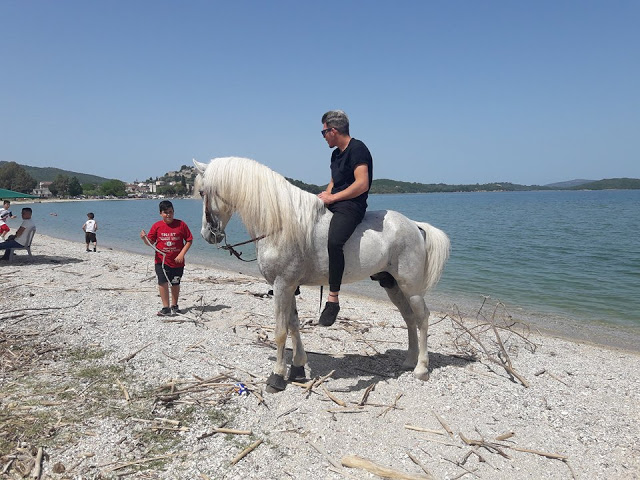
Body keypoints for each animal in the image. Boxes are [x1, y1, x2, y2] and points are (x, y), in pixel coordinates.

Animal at [195, 158, 450, 394]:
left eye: (201, 192)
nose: (207, 234)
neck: (282, 224)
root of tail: (414, 225)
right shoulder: (289, 286)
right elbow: (293, 324)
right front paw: (298, 368)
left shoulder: (282, 285)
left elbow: (280, 331)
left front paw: (277, 376)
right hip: (392, 285)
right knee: (409, 318)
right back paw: (409, 360)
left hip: (411, 287)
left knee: (422, 318)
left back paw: (421, 368)